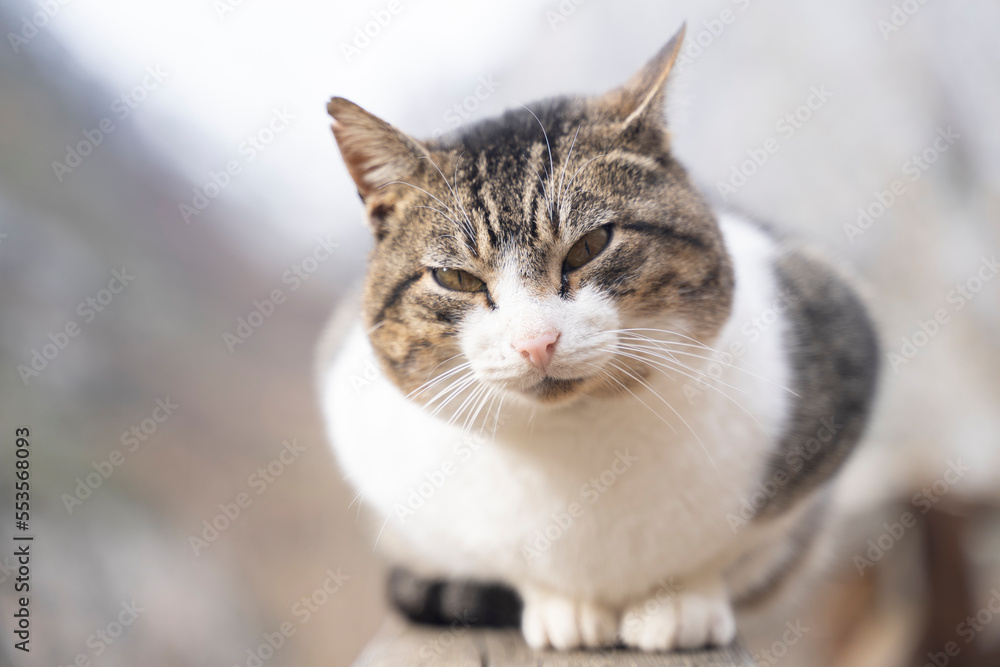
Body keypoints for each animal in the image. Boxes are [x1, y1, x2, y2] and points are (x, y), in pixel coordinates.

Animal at [316, 26, 880, 652]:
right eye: (456, 278)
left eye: (591, 245)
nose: (536, 342)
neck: (577, 438)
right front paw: (565, 607)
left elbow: (724, 553)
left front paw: (680, 601)